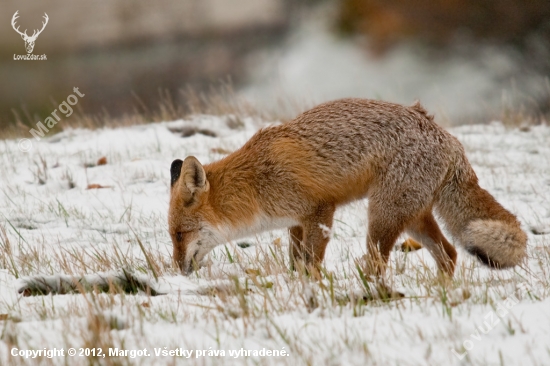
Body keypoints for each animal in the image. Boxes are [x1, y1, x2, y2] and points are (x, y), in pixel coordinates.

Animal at [169, 98, 532, 276]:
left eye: (179, 235)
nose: (178, 271)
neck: (256, 183)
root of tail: (446, 136)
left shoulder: (319, 211)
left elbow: (311, 264)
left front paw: (311, 291)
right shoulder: (295, 224)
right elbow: (296, 262)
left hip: (382, 217)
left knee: (379, 263)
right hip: (412, 218)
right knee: (450, 254)